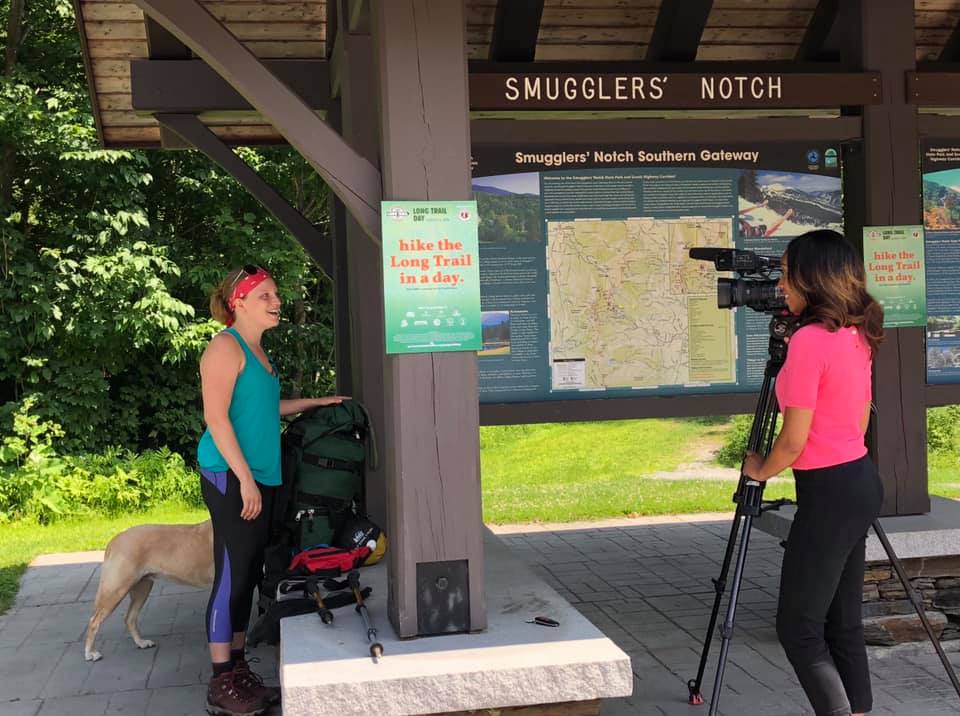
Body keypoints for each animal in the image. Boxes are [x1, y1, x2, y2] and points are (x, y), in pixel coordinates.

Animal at [85, 520, 214, 660]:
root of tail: (115, 539)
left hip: (142, 589)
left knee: (129, 618)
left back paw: (141, 643)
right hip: (116, 589)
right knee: (93, 621)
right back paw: (90, 653)